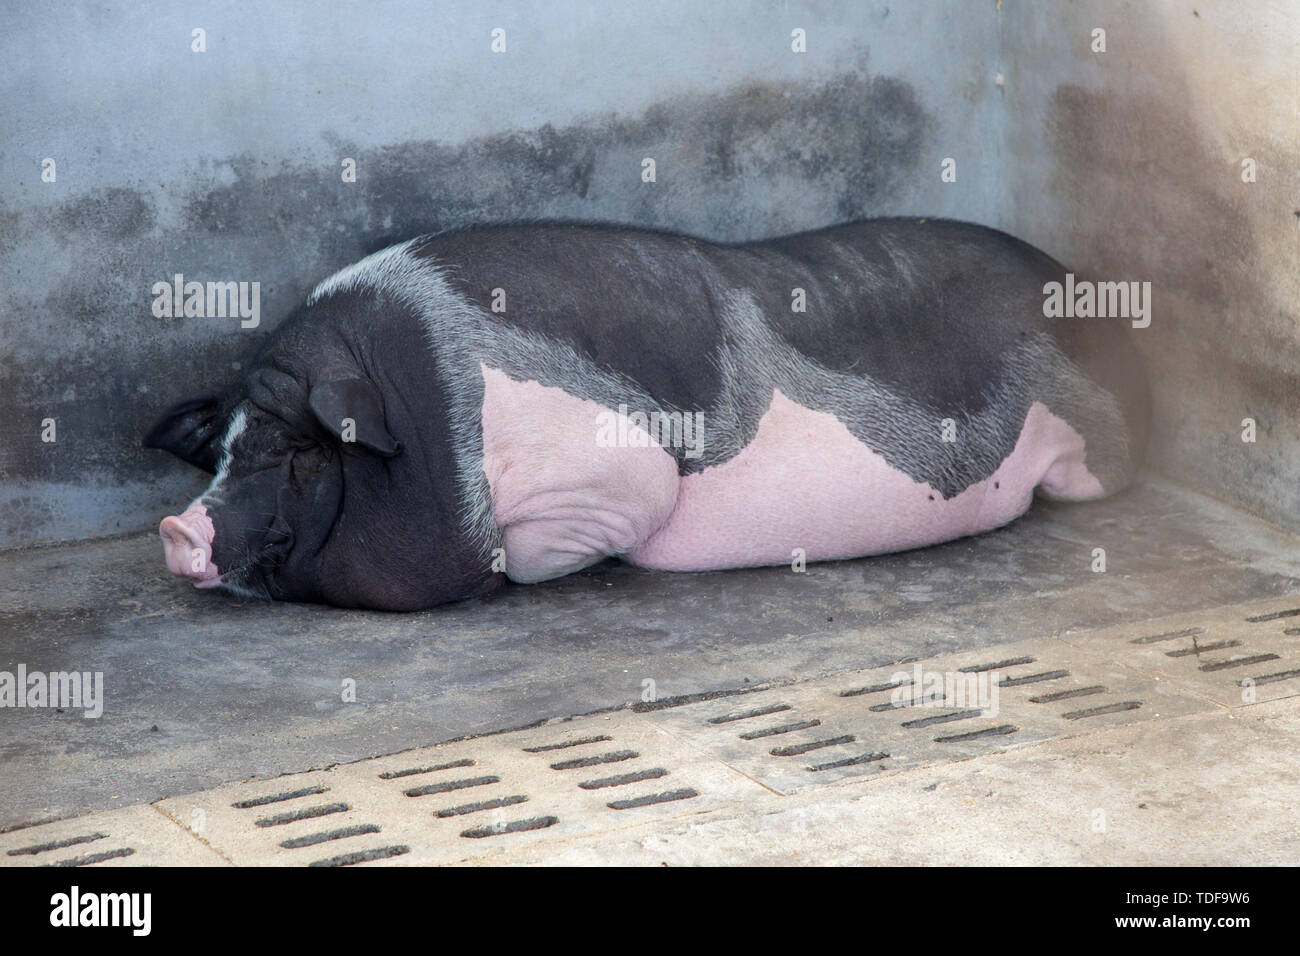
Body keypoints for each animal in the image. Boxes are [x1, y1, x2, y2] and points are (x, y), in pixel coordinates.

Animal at [142, 219, 1149, 608]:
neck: (425, 414)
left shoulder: (613, 476)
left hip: (1093, 452)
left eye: (303, 449)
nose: (176, 528)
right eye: (223, 446)